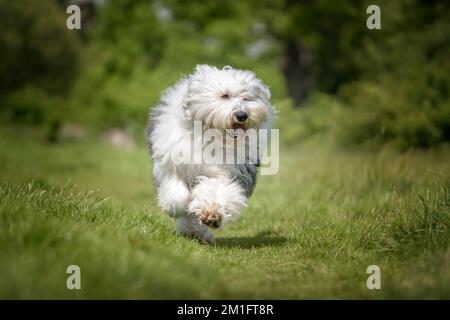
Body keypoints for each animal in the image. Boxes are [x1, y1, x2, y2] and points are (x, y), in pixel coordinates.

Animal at [147, 65, 274, 245]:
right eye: (225, 95)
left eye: (247, 98)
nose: (242, 115)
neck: (212, 137)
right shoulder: (171, 165)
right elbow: (176, 194)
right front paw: (177, 207)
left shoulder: (230, 171)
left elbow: (217, 190)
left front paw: (212, 213)